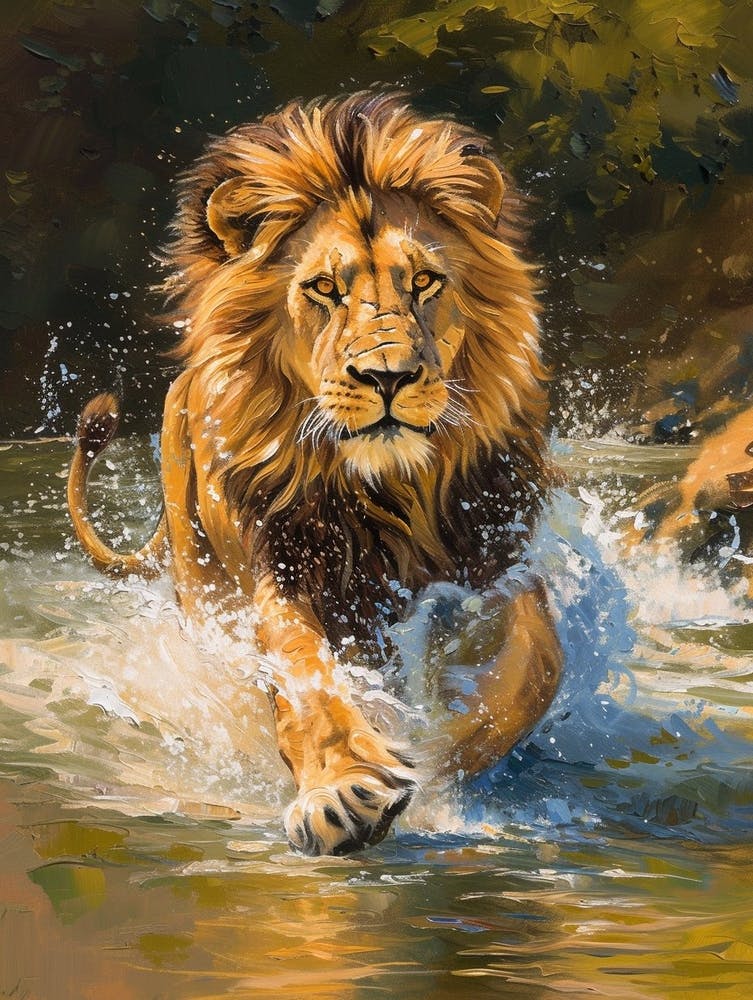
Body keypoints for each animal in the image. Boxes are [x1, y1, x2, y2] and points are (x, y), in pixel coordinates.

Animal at [67, 91, 562, 856]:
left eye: (425, 282)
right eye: (324, 288)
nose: (388, 377)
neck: (389, 491)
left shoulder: (497, 556)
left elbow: (531, 673)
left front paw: (434, 761)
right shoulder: (280, 559)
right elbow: (302, 671)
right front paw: (343, 788)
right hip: (204, 579)